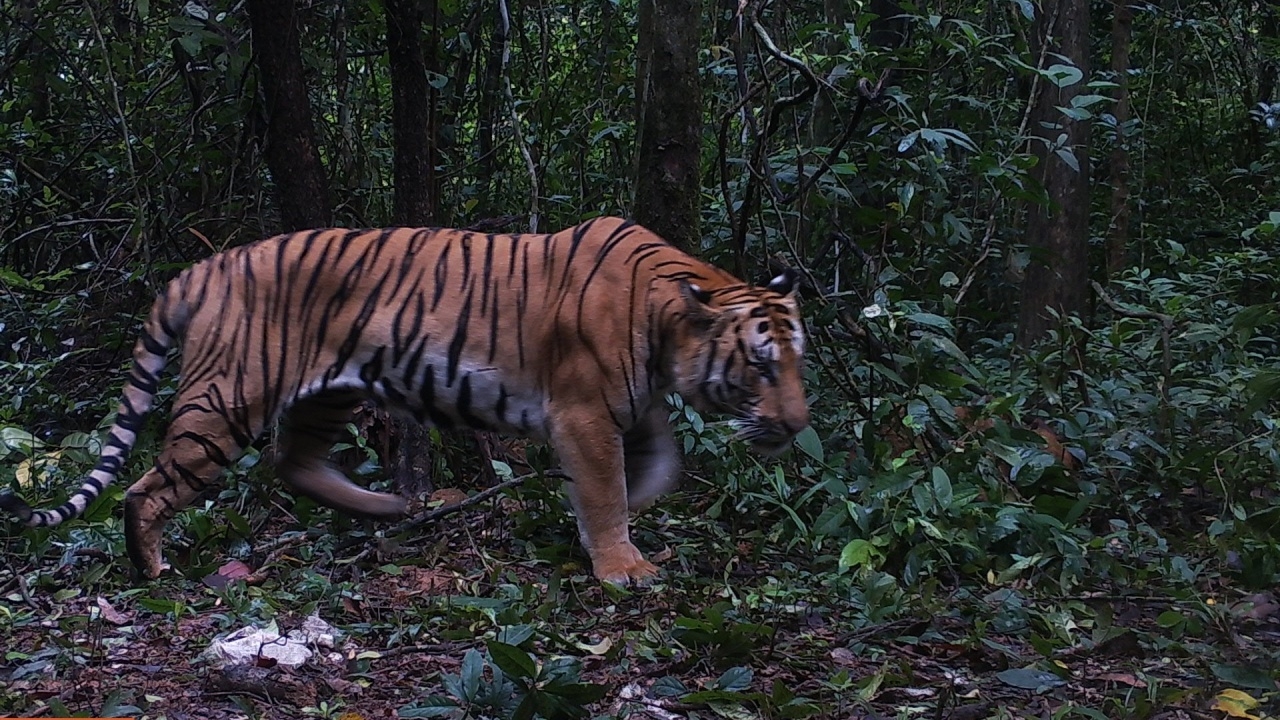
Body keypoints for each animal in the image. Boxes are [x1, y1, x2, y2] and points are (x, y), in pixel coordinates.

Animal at [2, 217, 808, 584]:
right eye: (763, 365)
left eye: (799, 359)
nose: (799, 425)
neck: (675, 317)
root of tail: (203, 268)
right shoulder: (584, 412)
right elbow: (607, 488)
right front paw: (621, 564)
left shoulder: (635, 410)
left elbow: (657, 471)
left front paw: (616, 523)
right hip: (226, 400)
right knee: (148, 488)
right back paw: (153, 570)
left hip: (328, 393)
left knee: (294, 465)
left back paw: (399, 507)